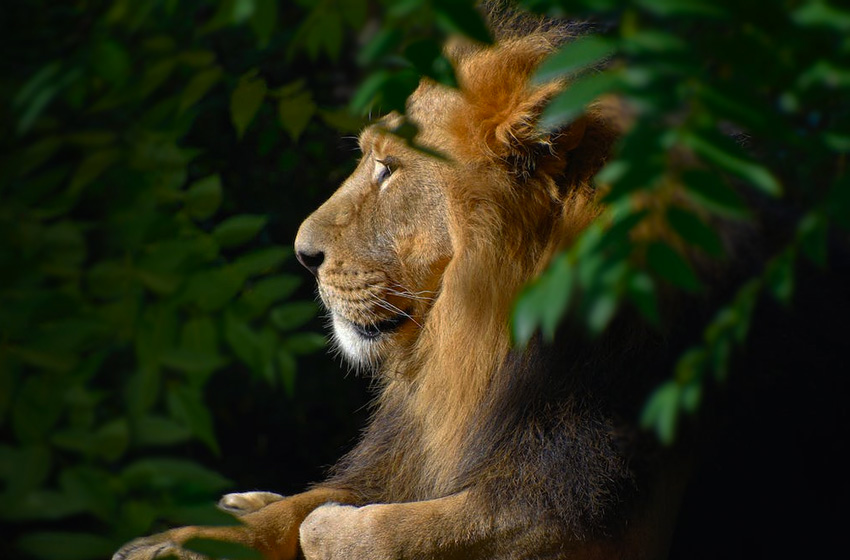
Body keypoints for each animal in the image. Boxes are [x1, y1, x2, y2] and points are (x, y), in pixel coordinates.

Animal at [114, 12, 696, 560]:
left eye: (388, 169)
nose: (303, 255)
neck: (475, 339)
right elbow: (309, 504)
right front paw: (181, 543)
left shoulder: (589, 503)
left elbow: (369, 527)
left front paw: (326, 526)